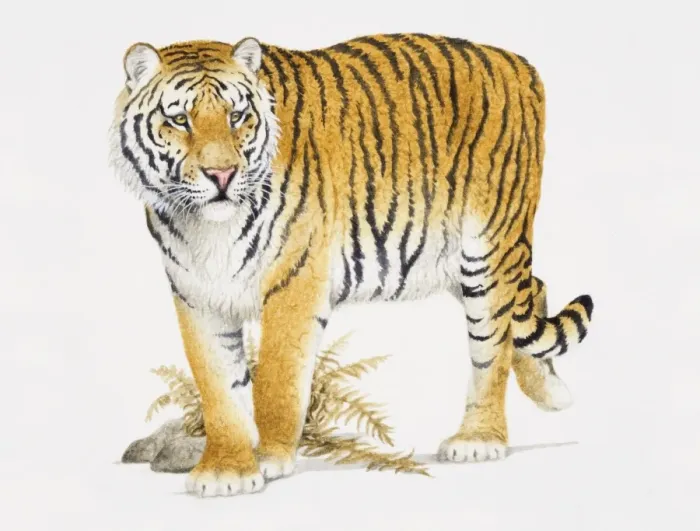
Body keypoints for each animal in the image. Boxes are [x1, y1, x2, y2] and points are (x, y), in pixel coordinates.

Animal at [109, 33, 594, 497]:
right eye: (179, 120)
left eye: (237, 116)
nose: (222, 175)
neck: (205, 228)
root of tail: (516, 62)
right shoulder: (197, 295)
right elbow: (219, 390)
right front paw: (225, 470)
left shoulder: (295, 281)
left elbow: (276, 381)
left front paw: (268, 458)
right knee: (532, 293)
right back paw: (553, 392)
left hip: (487, 249)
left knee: (491, 345)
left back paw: (480, 438)